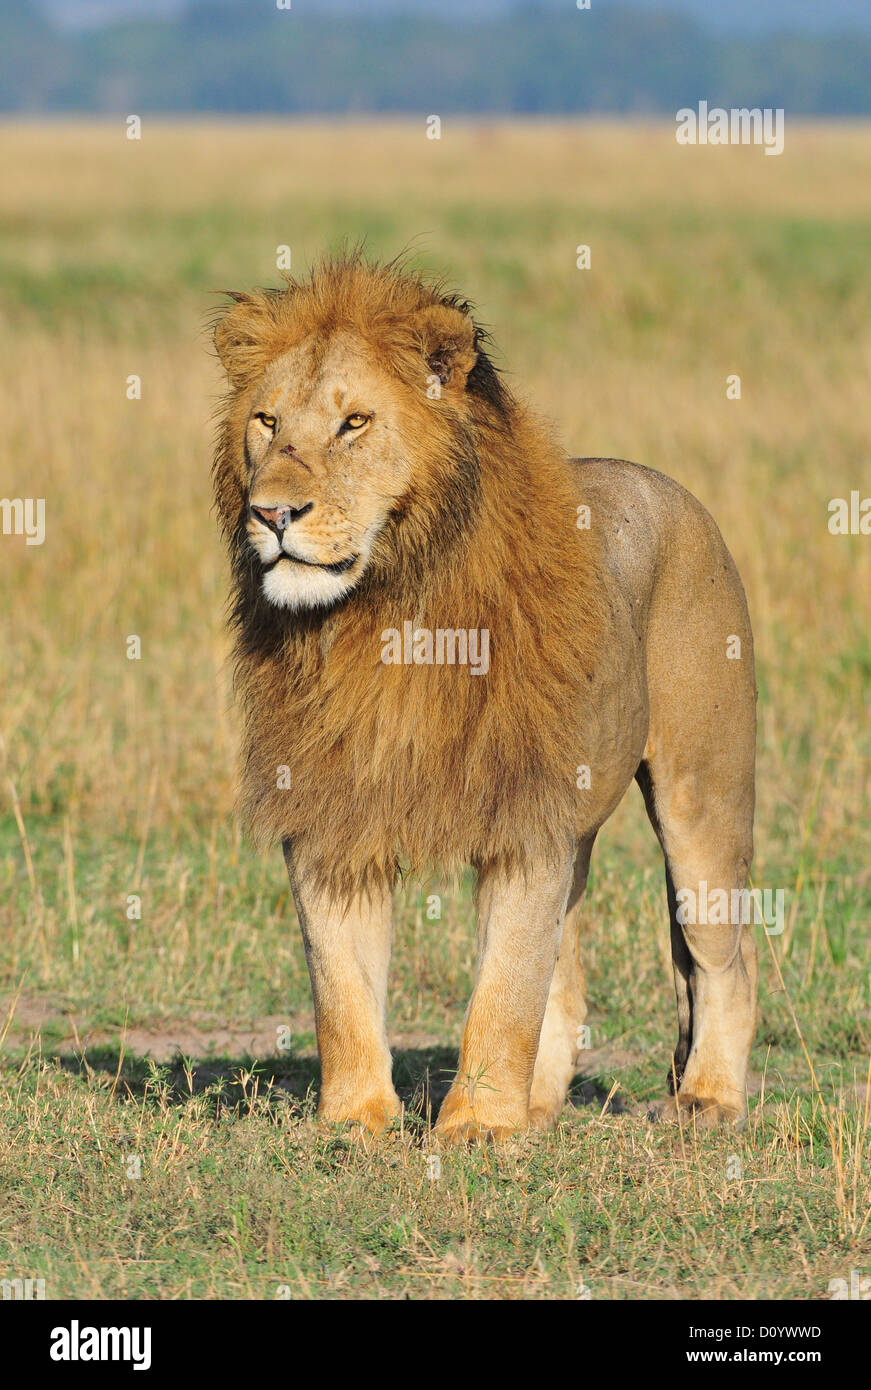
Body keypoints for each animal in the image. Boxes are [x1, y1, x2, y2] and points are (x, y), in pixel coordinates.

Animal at [211, 253, 757, 1142]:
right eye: (265, 420)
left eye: (353, 423)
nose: (272, 512)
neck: (385, 608)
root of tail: (675, 492)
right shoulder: (329, 809)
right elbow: (342, 986)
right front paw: (356, 1121)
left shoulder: (526, 818)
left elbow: (503, 990)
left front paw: (474, 1128)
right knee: (567, 973)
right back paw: (536, 1106)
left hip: (702, 795)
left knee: (722, 959)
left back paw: (707, 1098)